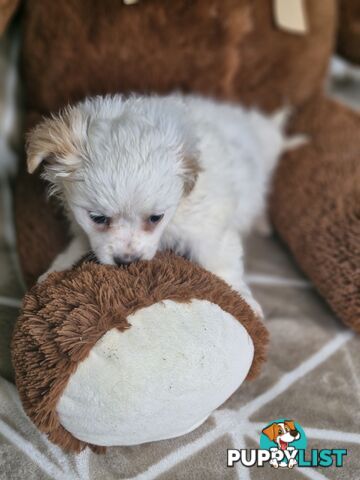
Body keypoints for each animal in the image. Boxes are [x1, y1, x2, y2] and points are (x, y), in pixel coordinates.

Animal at [26, 95, 300, 316]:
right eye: (98, 218)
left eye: (156, 217)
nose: (127, 260)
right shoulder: (84, 228)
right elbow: (79, 244)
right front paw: (55, 269)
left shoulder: (210, 228)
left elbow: (222, 263)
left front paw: (245, 300)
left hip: (268, 152)